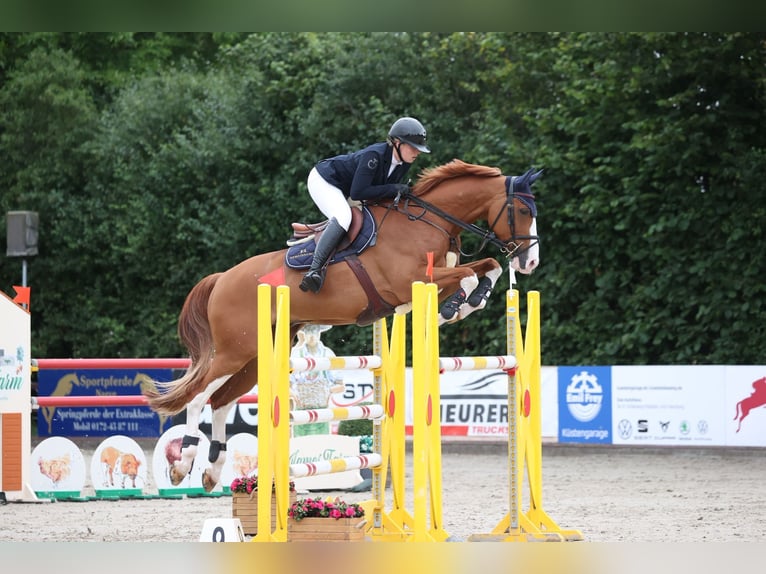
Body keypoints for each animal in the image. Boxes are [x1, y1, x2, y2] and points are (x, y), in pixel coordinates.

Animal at [143, 158, 542, 491]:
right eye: (523, 209)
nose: (530, 262)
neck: (429, 222)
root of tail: (222, 279)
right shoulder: (409, 281)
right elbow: (469, 273)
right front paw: (456, 307)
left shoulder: (426, 283)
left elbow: (487, 265)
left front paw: (466, 303)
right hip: (234, 351)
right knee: (199, 398)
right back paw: (184, 462)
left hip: (256, 356)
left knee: (222, 401)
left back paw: (213, 470)